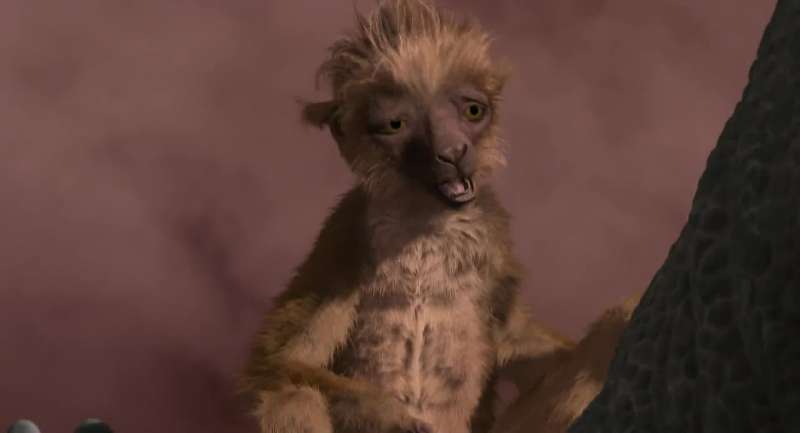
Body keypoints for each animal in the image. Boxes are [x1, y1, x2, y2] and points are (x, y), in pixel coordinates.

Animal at [239, 1, 635, 433]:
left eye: (473, 111)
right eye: (396, 125)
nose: (453, 152)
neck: (427, 226)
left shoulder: (495, 255)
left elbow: (528, 343)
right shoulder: (341, 243)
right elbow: (279, 362)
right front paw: (390, 413)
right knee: (293, 395)